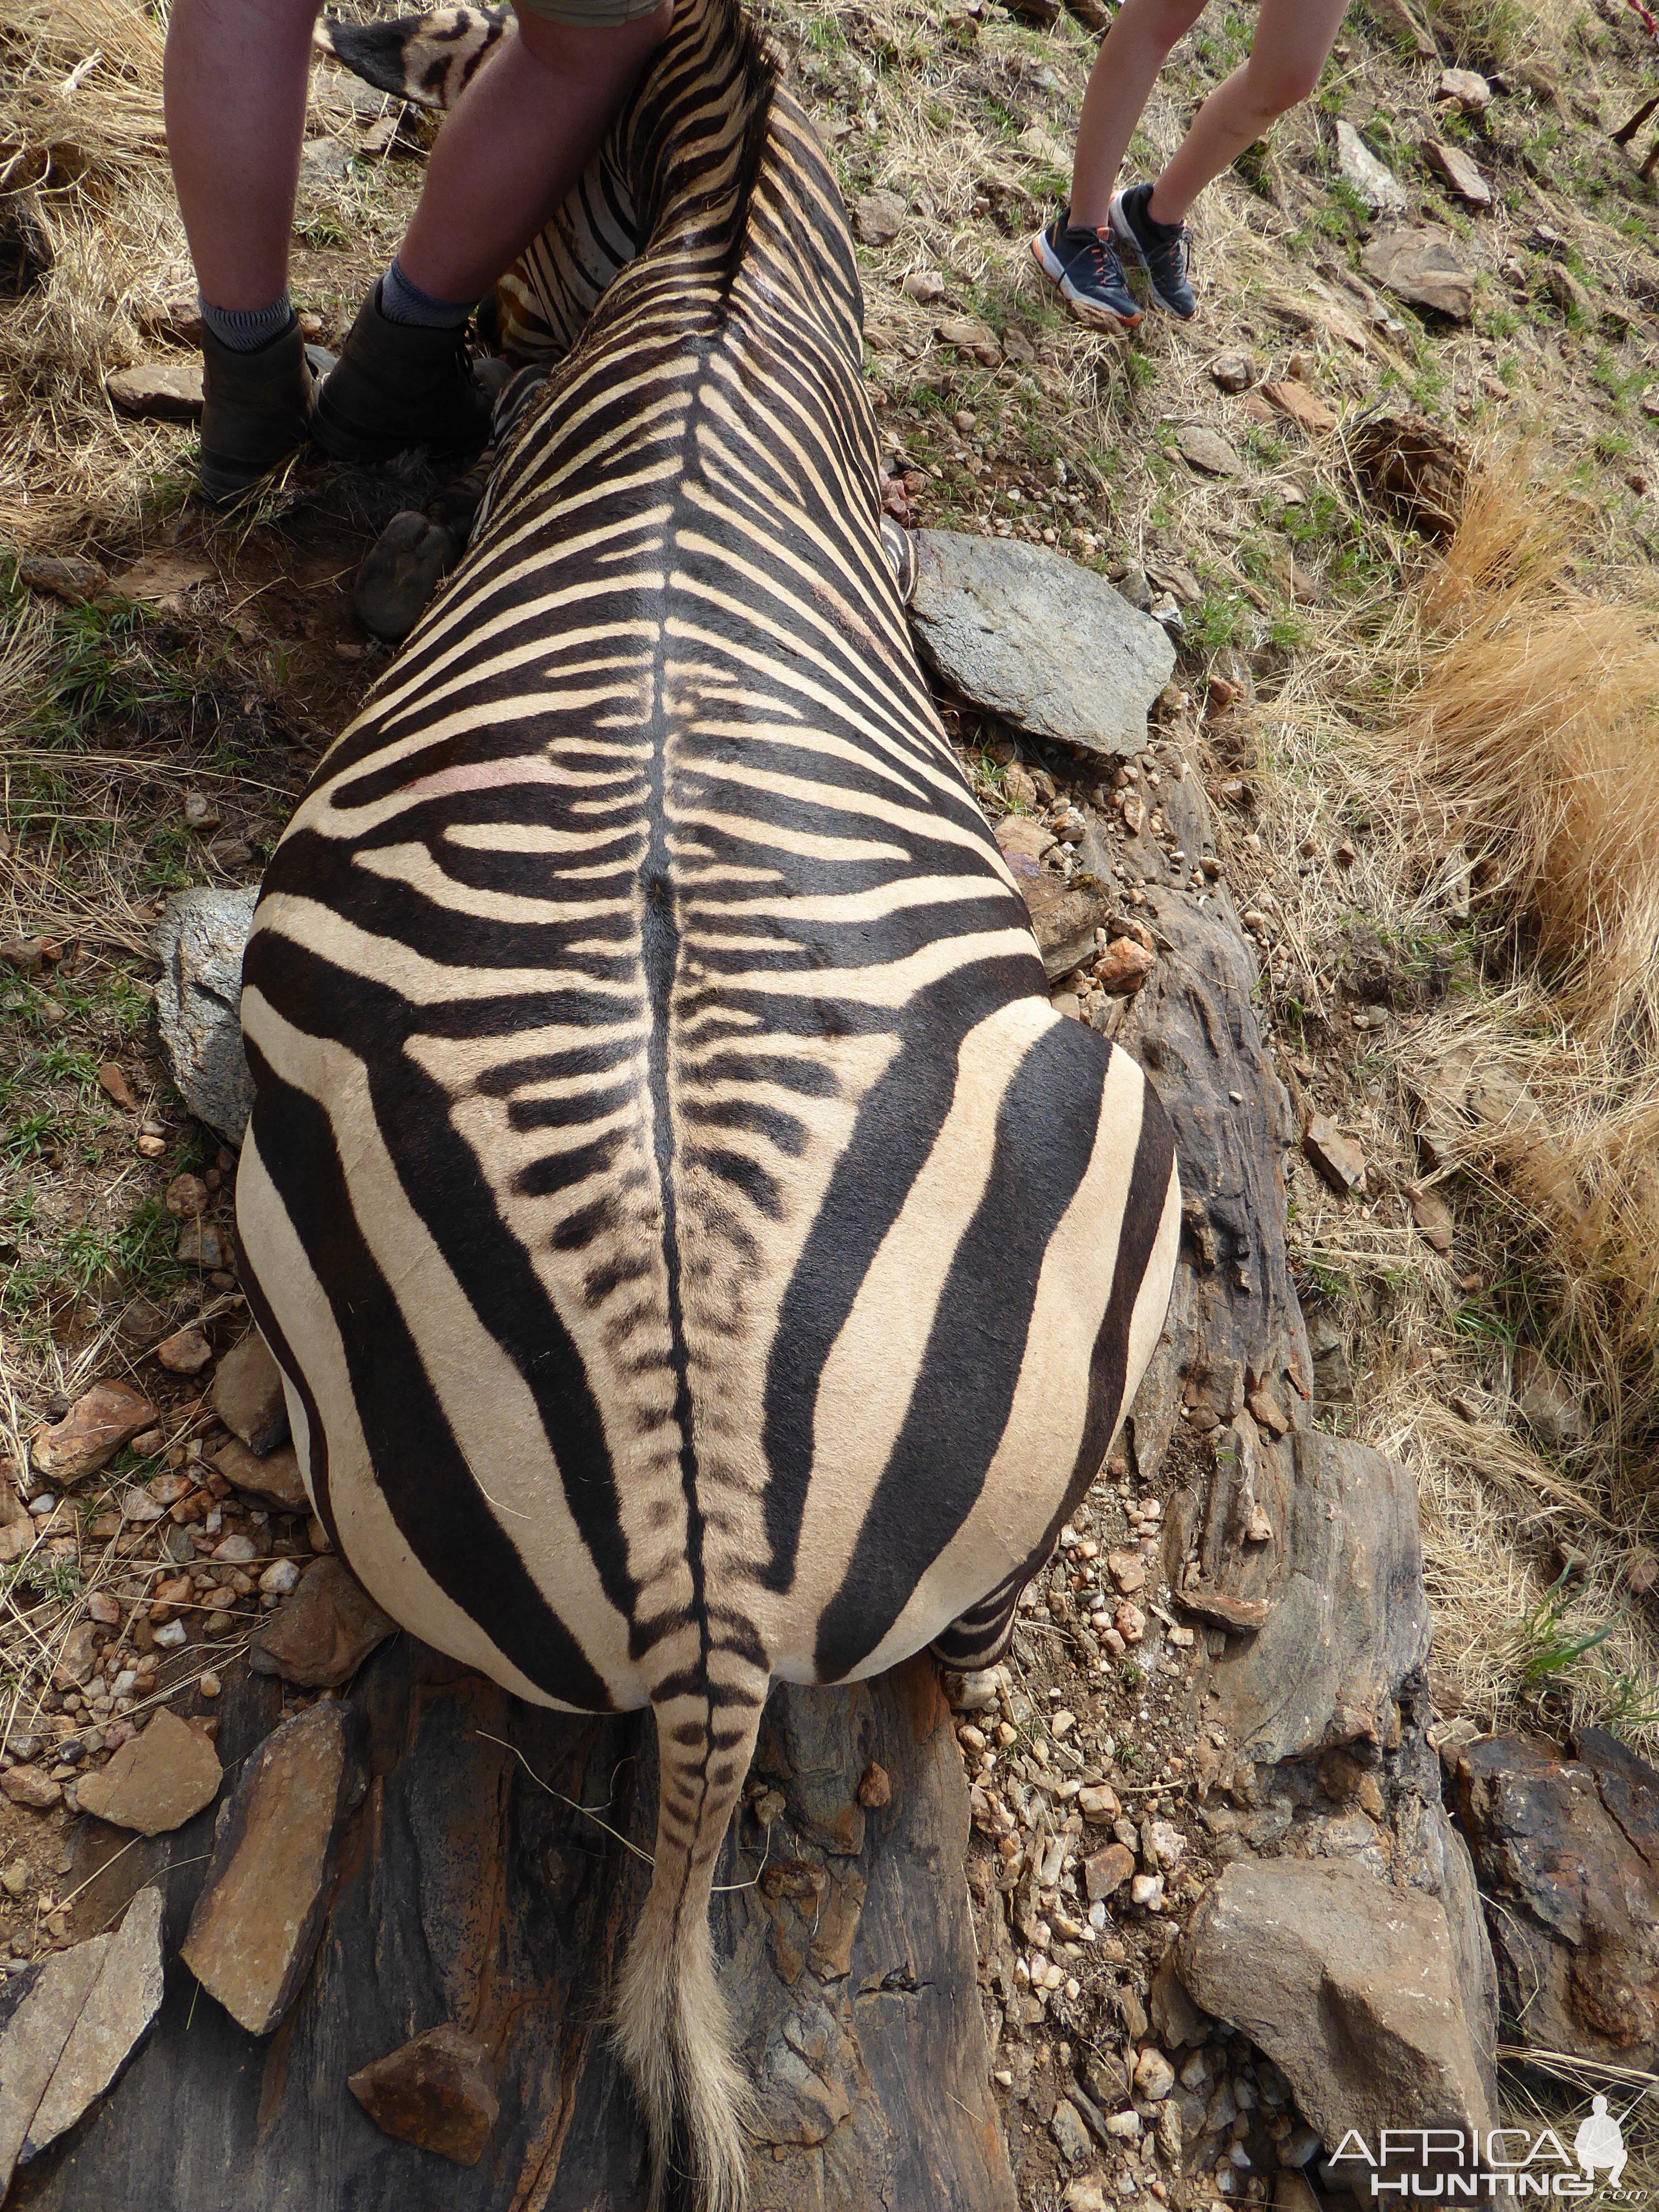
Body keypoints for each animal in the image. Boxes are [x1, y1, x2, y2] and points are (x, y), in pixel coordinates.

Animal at [243, 4, 1186, 2212]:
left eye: (451, 89)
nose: (448, 362)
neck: (722, 232)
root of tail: (706, 1597)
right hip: (1121, 1134)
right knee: (968, 1631)